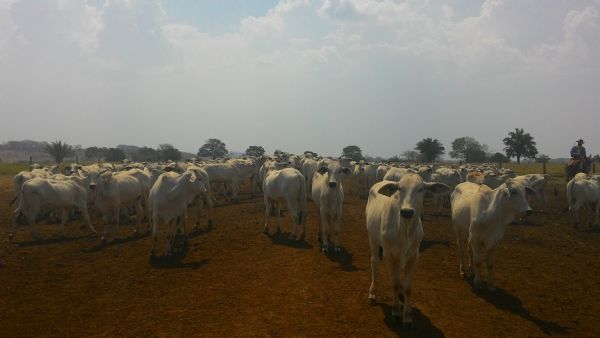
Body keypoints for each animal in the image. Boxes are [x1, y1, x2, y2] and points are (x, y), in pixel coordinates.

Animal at [366, 174, 450, 324]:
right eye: (399, 188)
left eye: (421, 189)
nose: (407, 212)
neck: (405, 230)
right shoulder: (389, 254)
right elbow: (394, 283)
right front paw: (395, 310)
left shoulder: (413, 256)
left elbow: (407, 287)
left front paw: (407, 315)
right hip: (373, 239)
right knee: (374, 263)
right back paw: (373, 293)